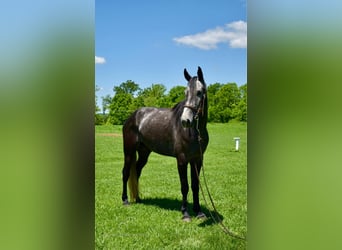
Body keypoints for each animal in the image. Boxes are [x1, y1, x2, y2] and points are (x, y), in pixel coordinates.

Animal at [123, 66, 208, 221]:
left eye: (199, 92)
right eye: (185, 93)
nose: (185, 121)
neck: (195, 131)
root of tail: (132, 117)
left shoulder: (197, 159)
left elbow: (195, 185)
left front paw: (199, 212)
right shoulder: (182, 160)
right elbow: (185, 186)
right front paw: (185, 213)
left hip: (144, 153)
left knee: (136, 172)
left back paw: (138, 199)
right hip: (129, 152)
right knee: (125, 173)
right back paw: (125, 200)